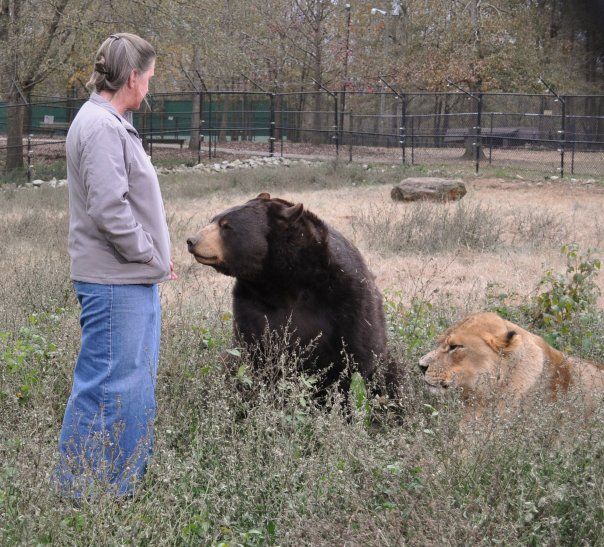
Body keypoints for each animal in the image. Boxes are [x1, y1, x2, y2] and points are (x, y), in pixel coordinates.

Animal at [188, 193, 392, 394]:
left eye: (226, 225)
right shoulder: (251, 302)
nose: (191, 240)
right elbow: (253, 349)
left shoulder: (347, 297)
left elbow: (358, 352)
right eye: (213, 219)